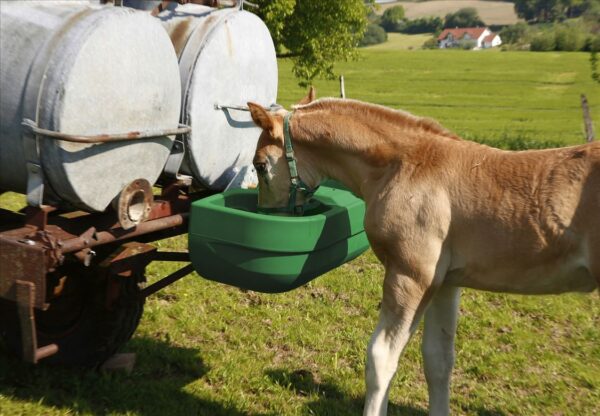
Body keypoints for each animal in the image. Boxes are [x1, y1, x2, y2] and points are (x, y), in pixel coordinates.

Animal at [247, 95, 596, 416]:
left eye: (260, 165)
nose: (266, 212)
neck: (407, 165)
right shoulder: (446, 283)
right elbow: (438, 361)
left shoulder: (411, 276)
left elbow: (381, 358)